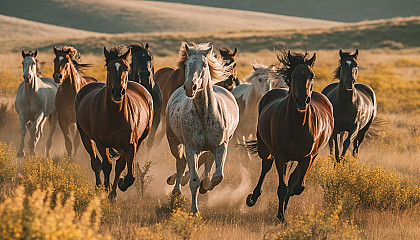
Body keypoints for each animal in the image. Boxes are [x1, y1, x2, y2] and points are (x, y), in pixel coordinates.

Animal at [75, 45, 154, 199]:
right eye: (109, 68)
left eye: (126, 68)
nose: (118, 92)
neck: (114, 115)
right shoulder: (101, 143)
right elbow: (106, 165)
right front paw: (106, 189)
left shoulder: (131, 145)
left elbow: (127, 172)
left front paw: (118, 187)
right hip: (85, 137)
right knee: (96, 163)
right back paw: (99, 186)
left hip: (140, 140)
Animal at [167, 43, 240, 214]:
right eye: (186, 65)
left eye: (205, 65)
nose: (190, 87)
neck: (204, 114)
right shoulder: (191, 148)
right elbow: (193, 180)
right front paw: (194, 210)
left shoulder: (221, 146)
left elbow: (218, 176)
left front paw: (205, 185)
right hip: (174, 142)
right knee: (180, 163)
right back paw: (176, 189)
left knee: (207, 162)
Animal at [244, 49, 334, 222]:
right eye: (293, 76)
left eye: (312, 76)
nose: (302, 101)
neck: (296, 125)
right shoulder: (281, 157)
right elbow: (282, 188)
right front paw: (280, 216)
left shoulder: (307, 157)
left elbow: (297, 186)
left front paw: (284, 210)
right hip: (264, 148)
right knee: (266, 166)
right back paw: (252, 198)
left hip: (313, 155)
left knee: (293, 179)